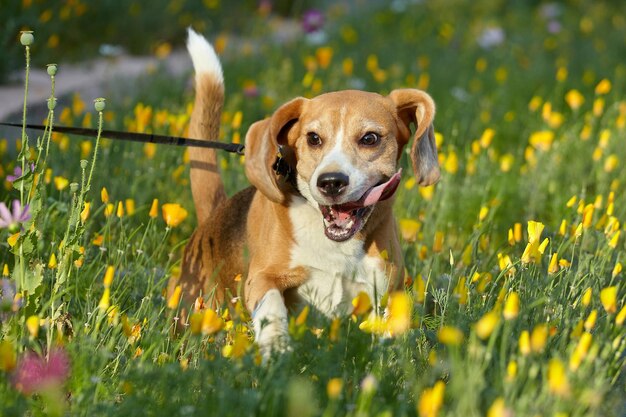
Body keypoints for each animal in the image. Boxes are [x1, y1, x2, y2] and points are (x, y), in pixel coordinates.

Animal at [176, 30, 438, 354]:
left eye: (370, 138)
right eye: (313, 138)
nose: (331, 181)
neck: (335, 245)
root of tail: (211, 219)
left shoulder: (387, 288)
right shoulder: (262, 278)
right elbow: (272, 303)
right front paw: (276, 343)